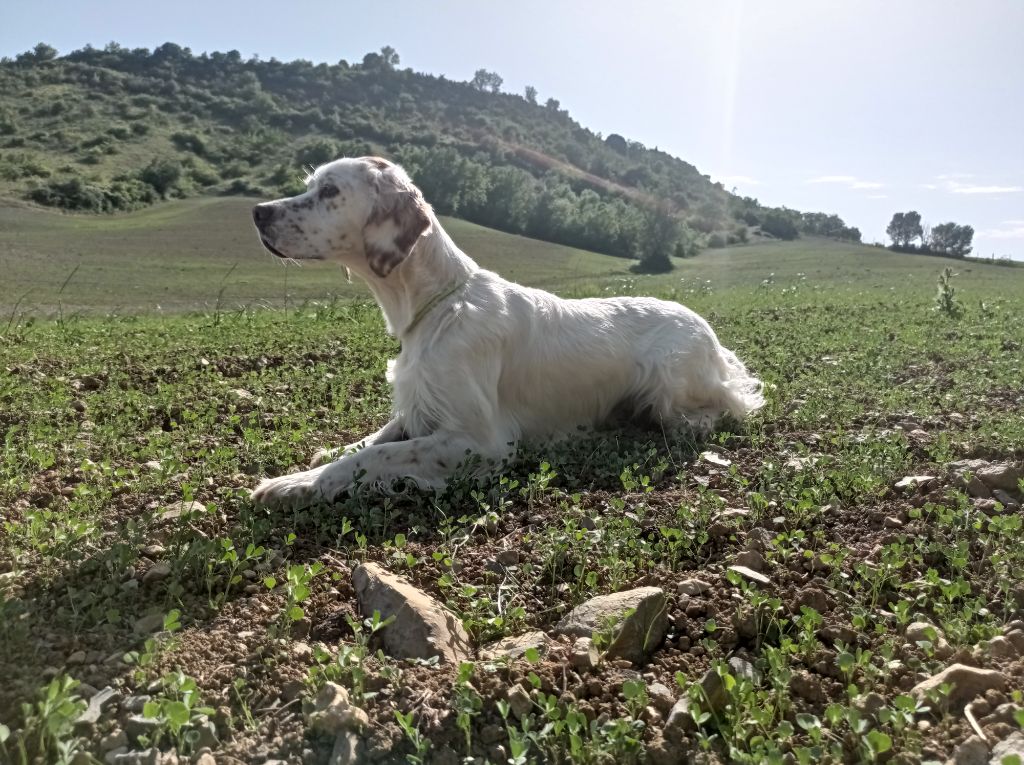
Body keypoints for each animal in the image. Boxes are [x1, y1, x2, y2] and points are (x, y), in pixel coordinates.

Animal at [245, 156, 761, 507]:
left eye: (330, 190)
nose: (258, 211)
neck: (438, 305)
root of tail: (709, 332)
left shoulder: (482, 441)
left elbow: (374, 458)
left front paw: (293, 484)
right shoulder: (420, 403)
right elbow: (372, 441)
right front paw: (323, 455)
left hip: (671, 375)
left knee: (721, 407)